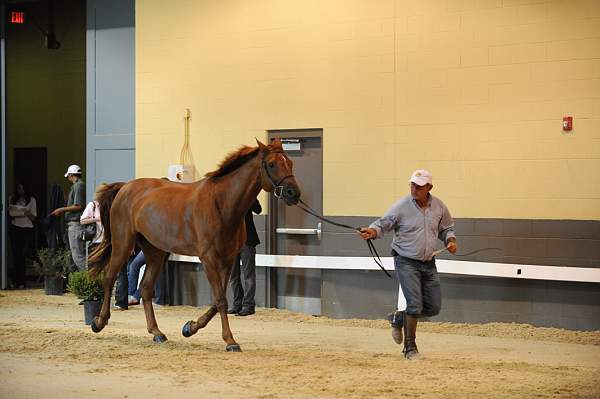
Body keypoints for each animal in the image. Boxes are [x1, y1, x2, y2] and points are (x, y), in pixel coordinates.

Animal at [88, 139, 300, 352]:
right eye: (272, 164)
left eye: (290, 163)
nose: (293, 193)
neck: (221, 203)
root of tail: (125, 187)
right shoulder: (208, 259)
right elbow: (221, 300)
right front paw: (230, 341)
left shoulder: (228, 259)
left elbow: (218, 300)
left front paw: (190, 328)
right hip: (123, 245)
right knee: (109, 279)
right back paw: (99, 322)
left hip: (155, 252)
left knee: (146, 288)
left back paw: (157, 333)